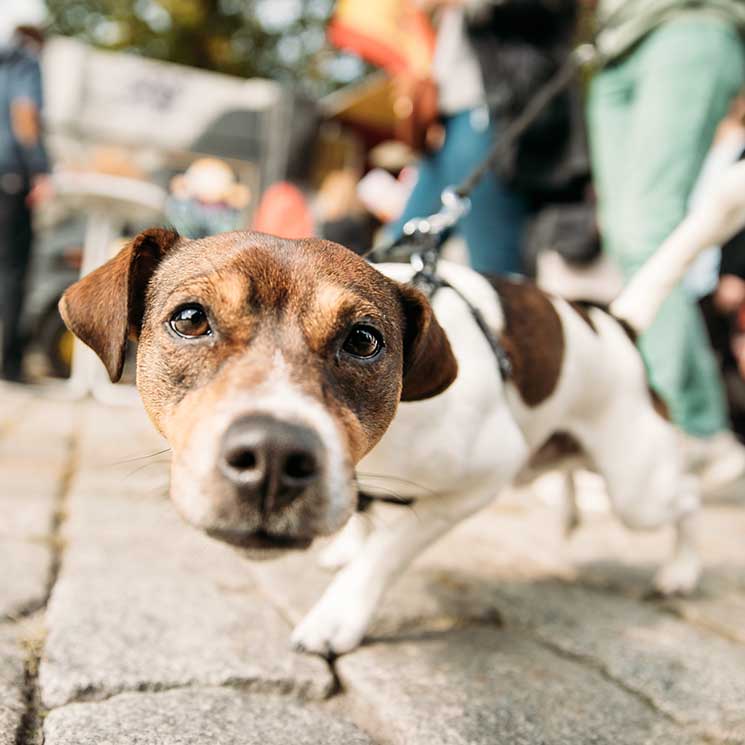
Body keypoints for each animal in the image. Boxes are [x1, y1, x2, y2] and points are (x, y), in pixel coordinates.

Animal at [59, 160, 745, 652]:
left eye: (364, 341)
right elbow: (366, 525)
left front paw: (340, 610)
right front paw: (346, 544)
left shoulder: (483, 475)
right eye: (190, 319)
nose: (274, 457)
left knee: (685, 500)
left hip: (638, 489)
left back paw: (681, 570)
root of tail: (615, 322)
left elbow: (389, 550)